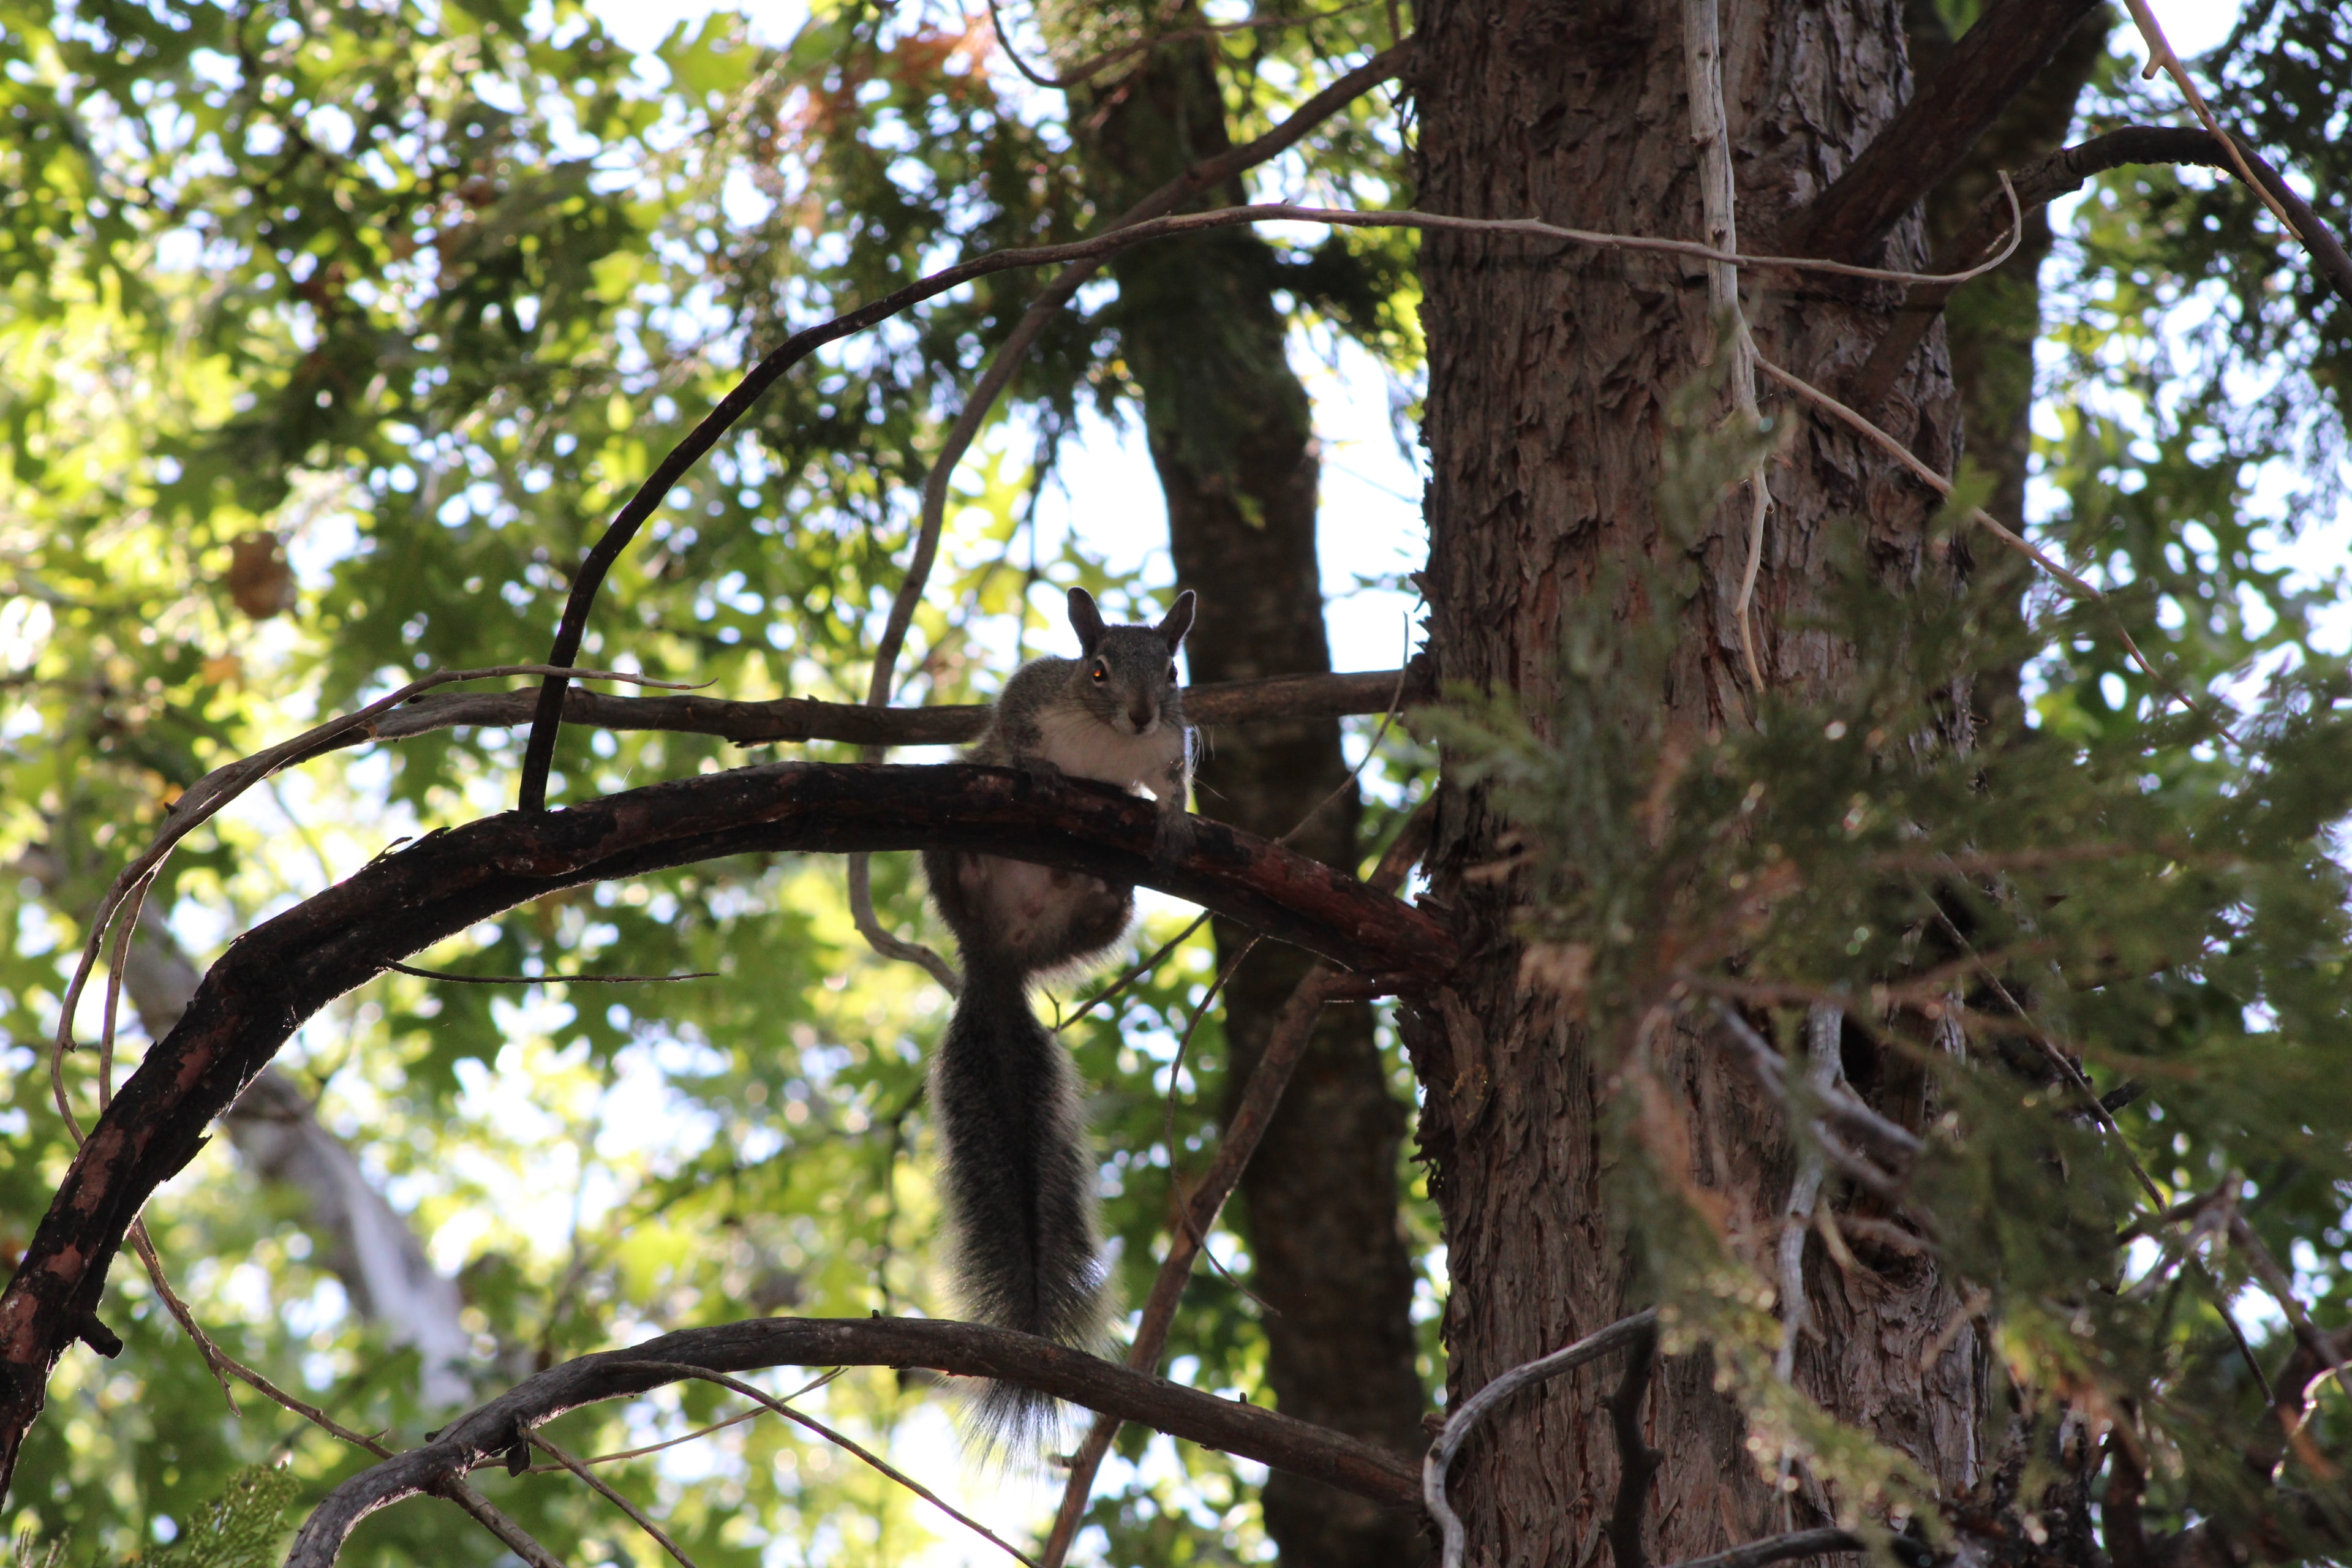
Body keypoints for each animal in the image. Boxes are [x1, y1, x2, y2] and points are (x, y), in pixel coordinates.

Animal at [921, 585, 1196, 1449]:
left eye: (1173, 671)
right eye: (1096, 668)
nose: (1142, 715)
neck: (1107, 748)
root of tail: (1000, 956)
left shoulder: (1173, 746)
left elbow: (1173, 784)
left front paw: (1173, 818)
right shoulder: (1031, 696)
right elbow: (1012, 724)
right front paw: (1038, 767)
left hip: (1094, 925)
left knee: (1106, 909)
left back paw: (1103, 883)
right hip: (949, 847)